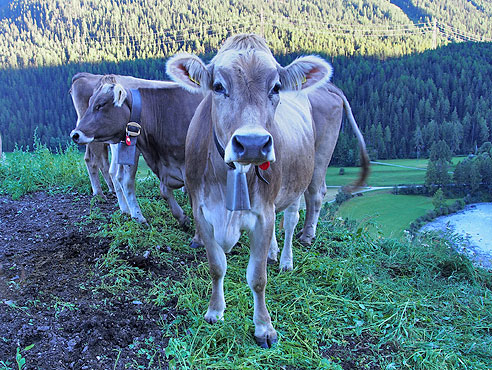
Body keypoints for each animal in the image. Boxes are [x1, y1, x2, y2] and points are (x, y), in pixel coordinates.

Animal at [164, 34, 346, 346]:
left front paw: (264, 327)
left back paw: (286, 258)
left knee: (295, 216)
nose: (252, 143)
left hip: (310, 170)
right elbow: (217, 266)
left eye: (275, 87)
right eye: (218, 86)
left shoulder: (263, 215)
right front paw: (215, 312)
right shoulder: (201, 212)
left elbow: (257, 277)